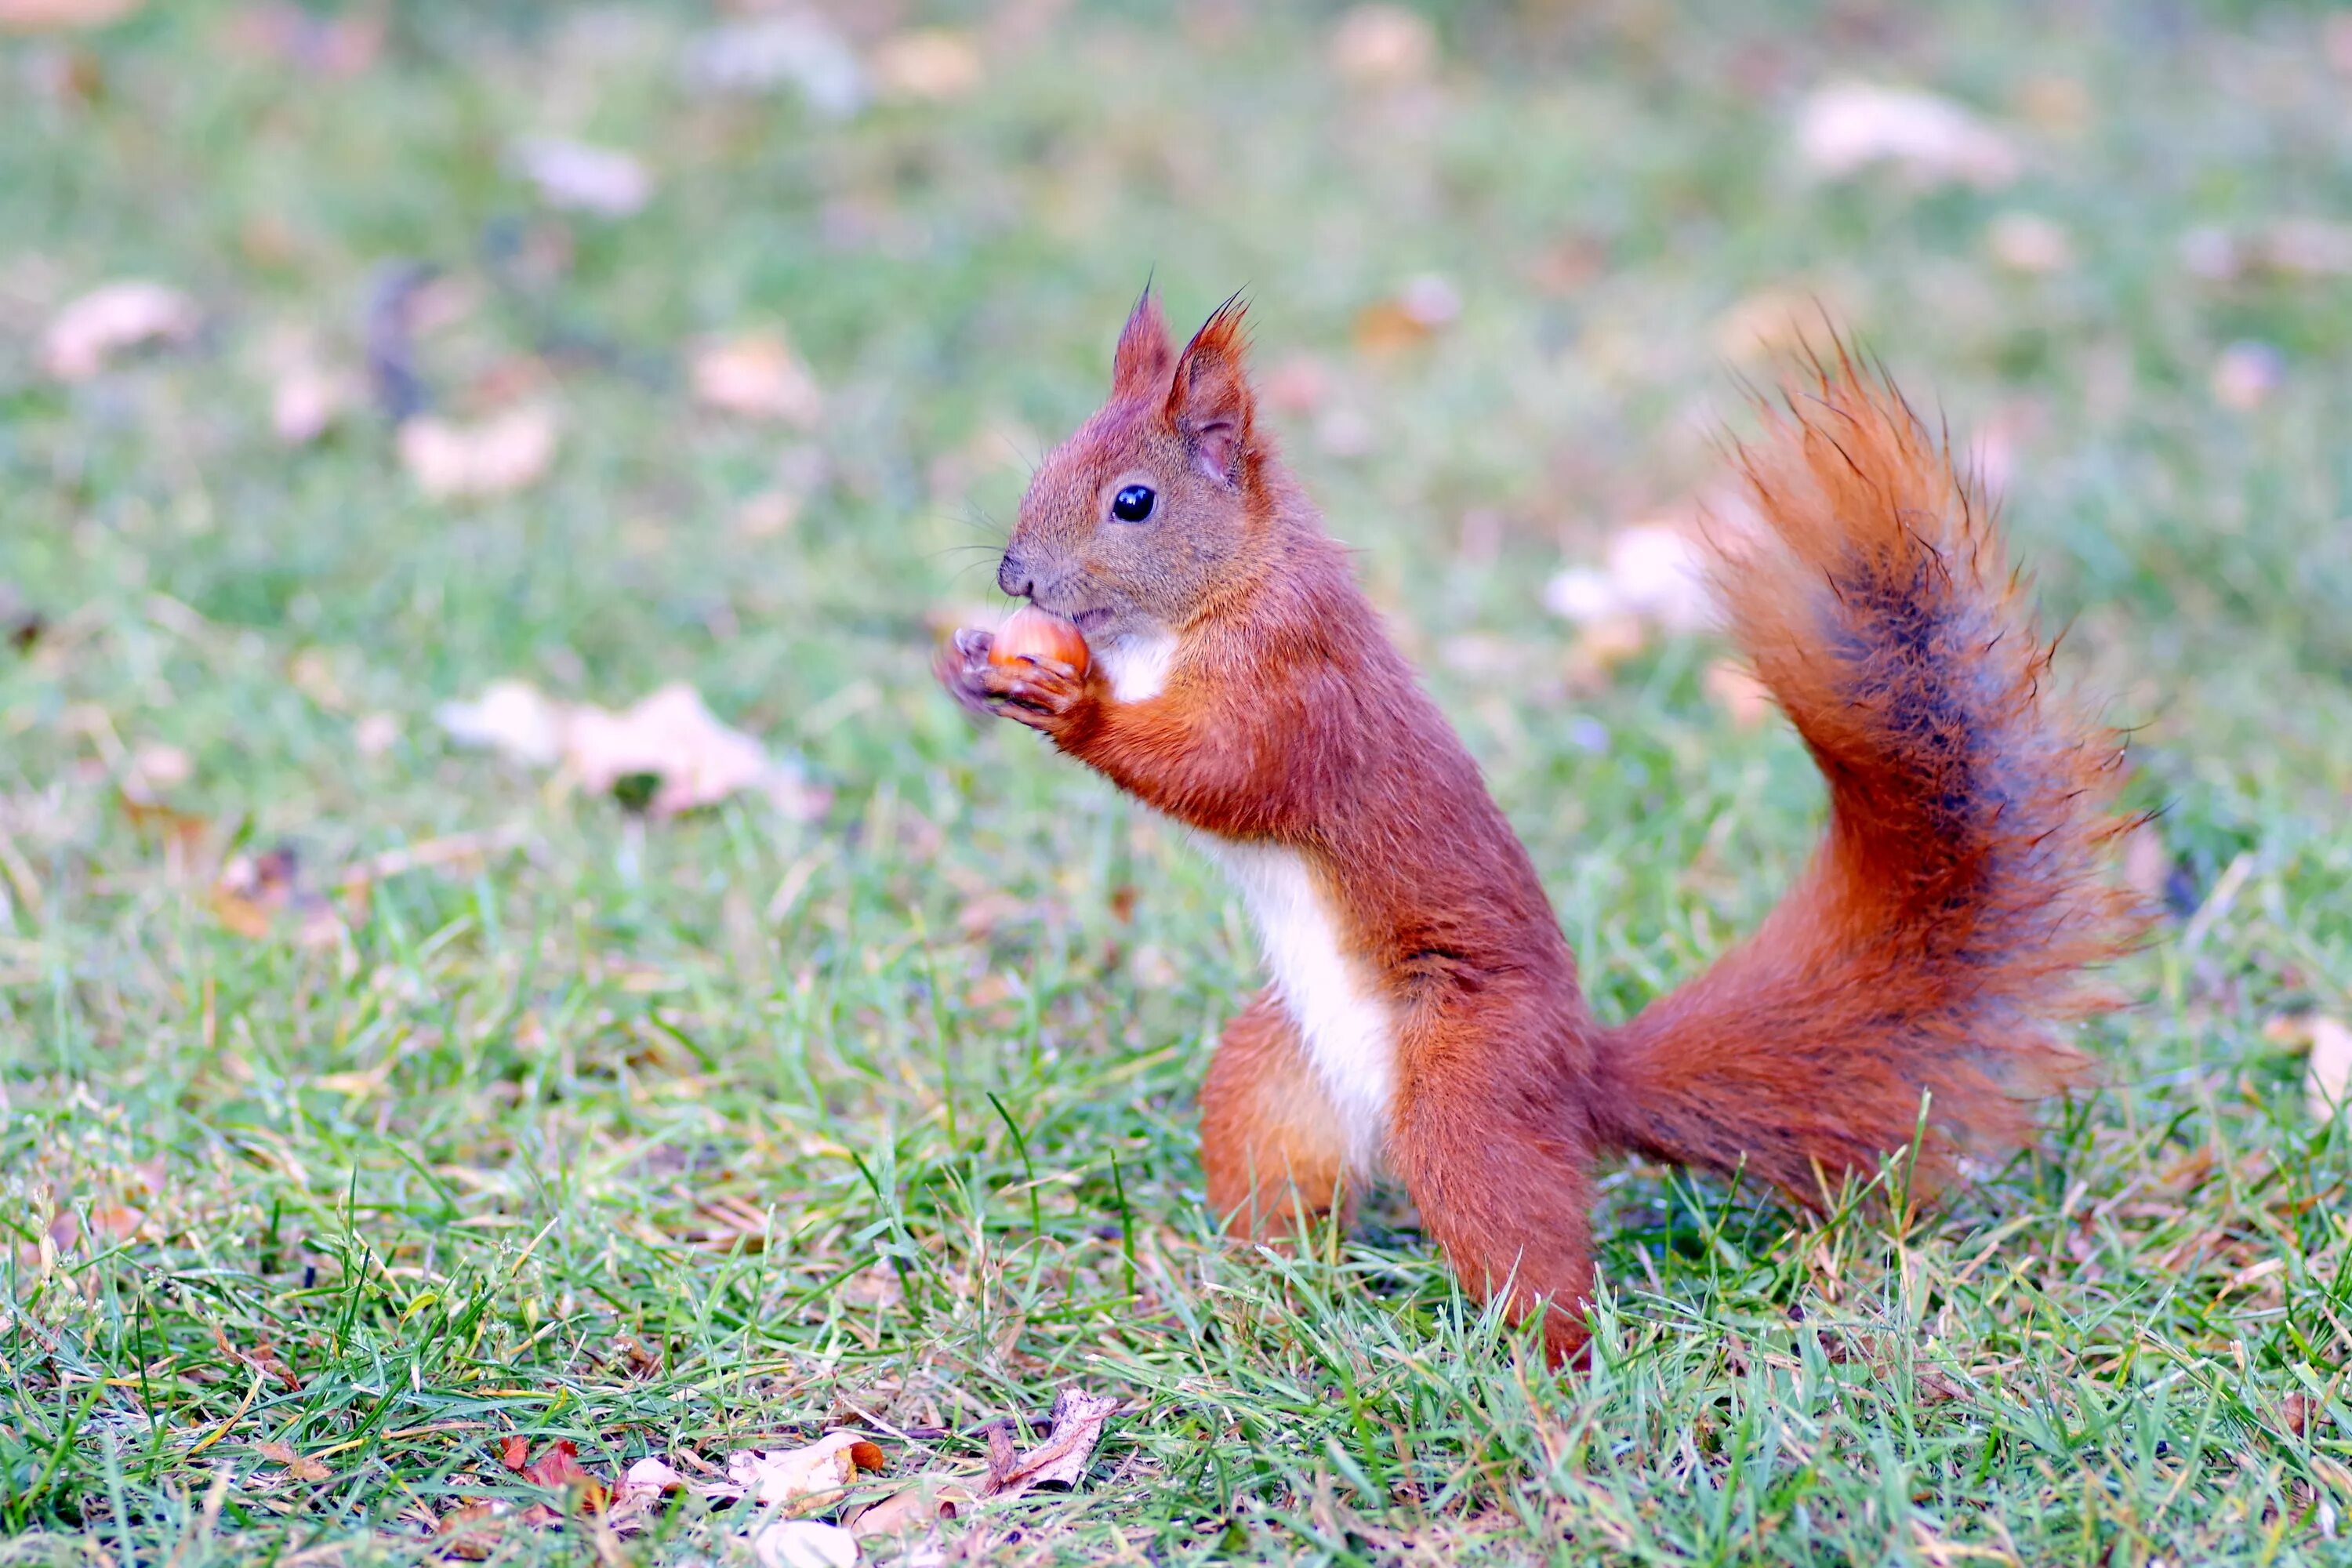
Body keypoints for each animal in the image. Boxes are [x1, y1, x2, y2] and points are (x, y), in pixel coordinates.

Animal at [931, 293, 2136, 1363]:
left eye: (1133, 503)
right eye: (1049, 462)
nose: (1013, 576)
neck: (1193, 609)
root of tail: (1577, 1074)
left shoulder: (1294, 689)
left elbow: (1220, 772)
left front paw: (1074, 709)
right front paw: (972, 664)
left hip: (1469, 1093)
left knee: (1531, 1256)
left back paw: (1543, 1375)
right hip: (1270, 1083)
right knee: (1282, 1194)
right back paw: (1248, 1285)